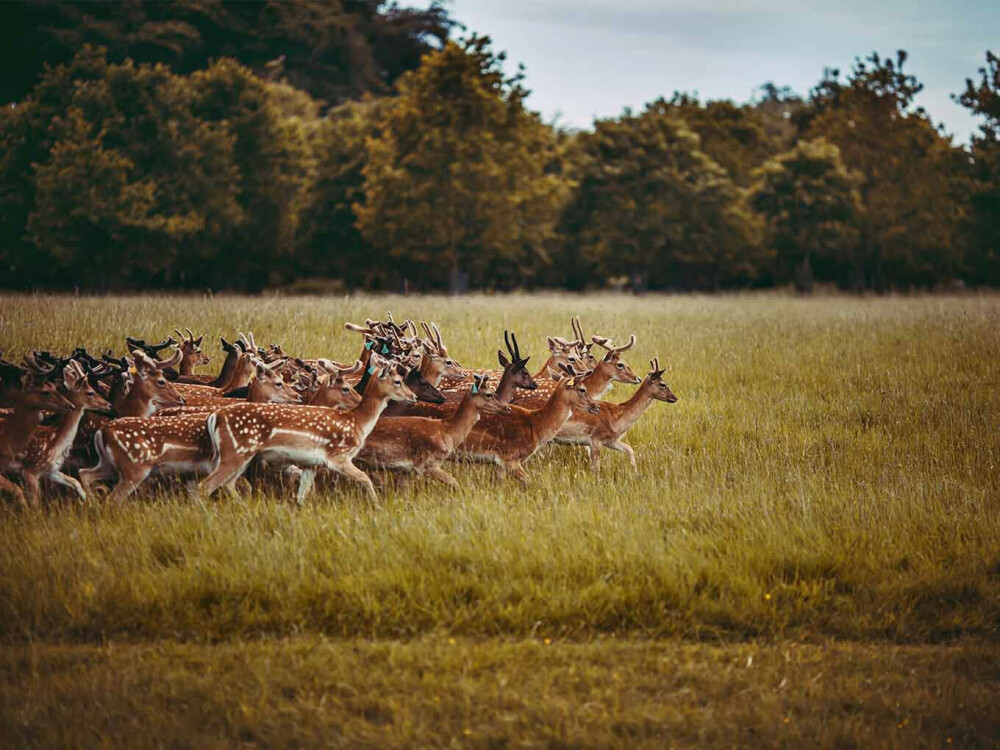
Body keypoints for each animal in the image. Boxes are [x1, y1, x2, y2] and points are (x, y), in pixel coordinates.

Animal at [199, 356, 418, 502]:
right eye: (398, 381)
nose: (413, 396)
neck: (357, 422)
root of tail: (215, 417)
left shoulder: (311, 464)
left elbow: (302, 494)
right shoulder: (338, 456)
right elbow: (365, 479)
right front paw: (376, 504)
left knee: (228, 484)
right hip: (235, 452)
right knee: (206, 486)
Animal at [356, 374, 512, 488]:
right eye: (489, 394)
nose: (507, 408)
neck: (448, 431)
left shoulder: (407, 470)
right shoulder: (427, 464)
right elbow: (455, 483)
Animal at [456, 364, 600, 488]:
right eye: (582, 389)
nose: (596, 406)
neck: (535, 426)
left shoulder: (500, 462)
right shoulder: (509, 457)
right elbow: (529, 482)